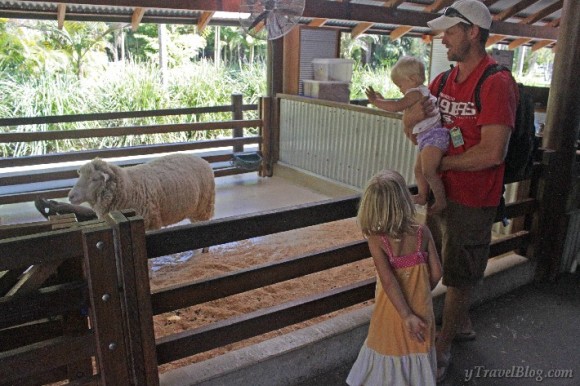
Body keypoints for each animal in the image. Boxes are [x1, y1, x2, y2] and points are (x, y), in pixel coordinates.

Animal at [68, 154, 215, 231]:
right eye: (80, 176)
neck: (128, 187)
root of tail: (203, 160)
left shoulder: (151, 223)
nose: (70, 196)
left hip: (203, 208)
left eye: (94, 179)